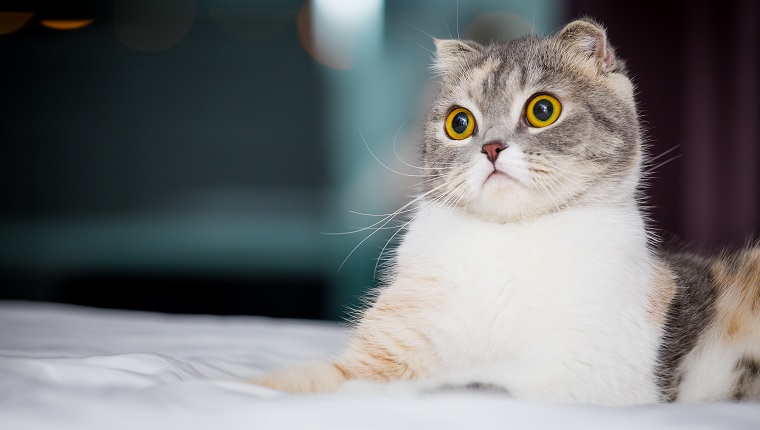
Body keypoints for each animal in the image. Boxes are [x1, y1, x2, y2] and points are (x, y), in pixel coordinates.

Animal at [255, 18, 760, 404]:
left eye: (543, 110)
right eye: (459, 122)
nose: (492, 148)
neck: (506, 241)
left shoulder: (588, 368)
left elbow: (468, 383)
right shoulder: (390, 347)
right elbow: (320, 379)